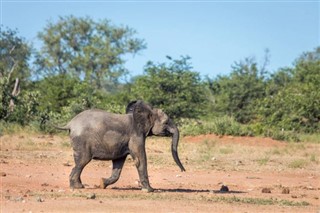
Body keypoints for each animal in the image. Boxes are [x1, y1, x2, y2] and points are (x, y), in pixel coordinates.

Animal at [56, 100, 184, 191]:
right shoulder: (136, 135)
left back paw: (80, 186)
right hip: (82, 141)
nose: (183, 170)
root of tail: (70, 123)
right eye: (166, 122)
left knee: (79, 163)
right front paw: (149, 190)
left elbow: (118, 163)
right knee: (82, 161)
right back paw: (77, 187)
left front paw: (102, 183)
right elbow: (140, 159)